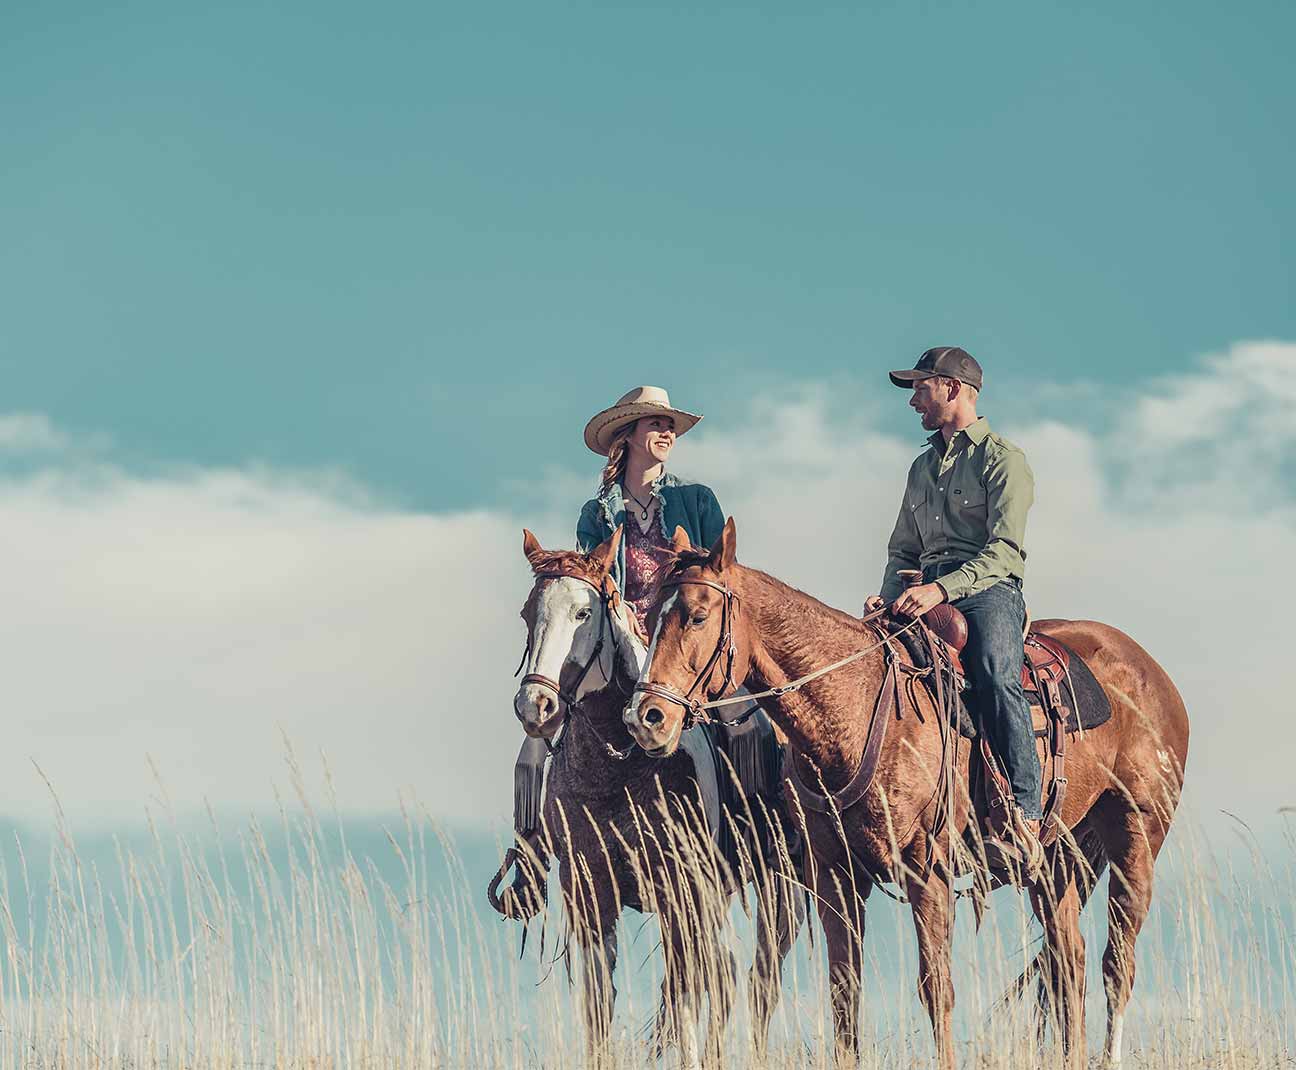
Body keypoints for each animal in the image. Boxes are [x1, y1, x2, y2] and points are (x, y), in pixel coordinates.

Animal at [505, 528, 798, 1067]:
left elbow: (684, 996)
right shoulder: (590, 896)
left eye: (584, 613)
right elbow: (599, 1005)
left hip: (779, 888)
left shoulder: (681, 892)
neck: (615, 769)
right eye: (527, 612)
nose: (536, 705)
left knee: (756, 979)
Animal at [622, 518, 1187, 1067]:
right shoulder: (836, 878)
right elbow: (844, 995)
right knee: (1068, 962)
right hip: (1059, 862)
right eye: (651, 616)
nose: (646, 717)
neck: (856, 708)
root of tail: (1153, 675)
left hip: (1136, 838)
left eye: (698, 616)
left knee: (1117, 964)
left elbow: (936, 989)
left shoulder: (927, 870)